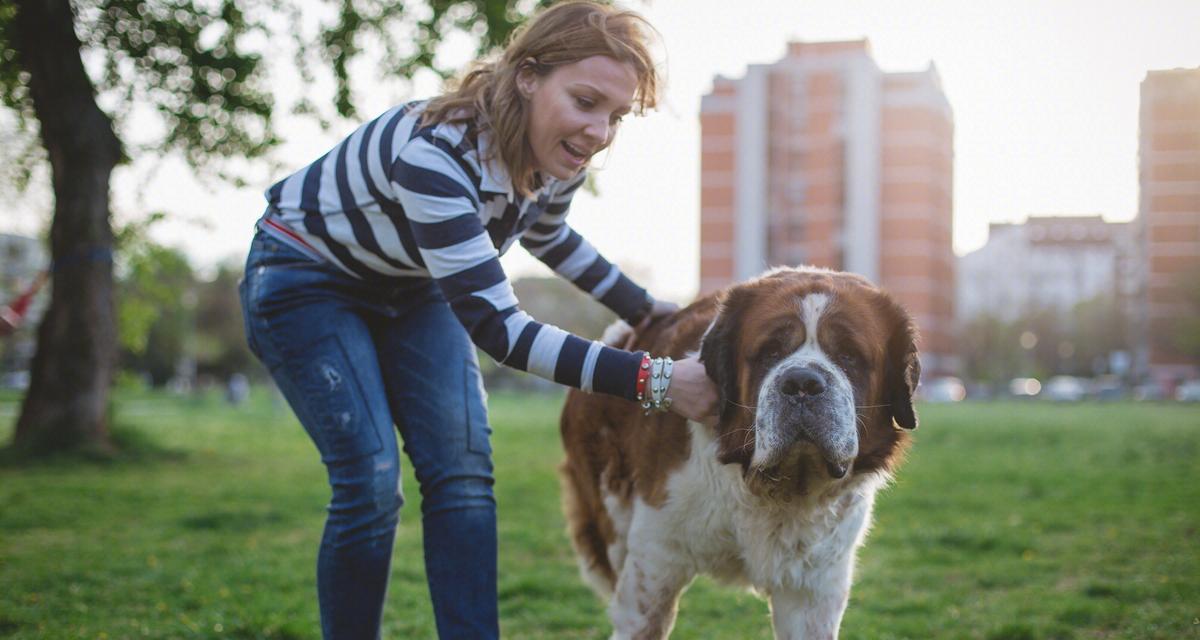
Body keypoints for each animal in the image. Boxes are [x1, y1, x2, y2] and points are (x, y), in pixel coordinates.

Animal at [559, 265, 916, 638]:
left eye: (849, 355)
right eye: (770, 352)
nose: (802, 383)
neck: (778, 491)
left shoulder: (815, 590)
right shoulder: (654, 564)